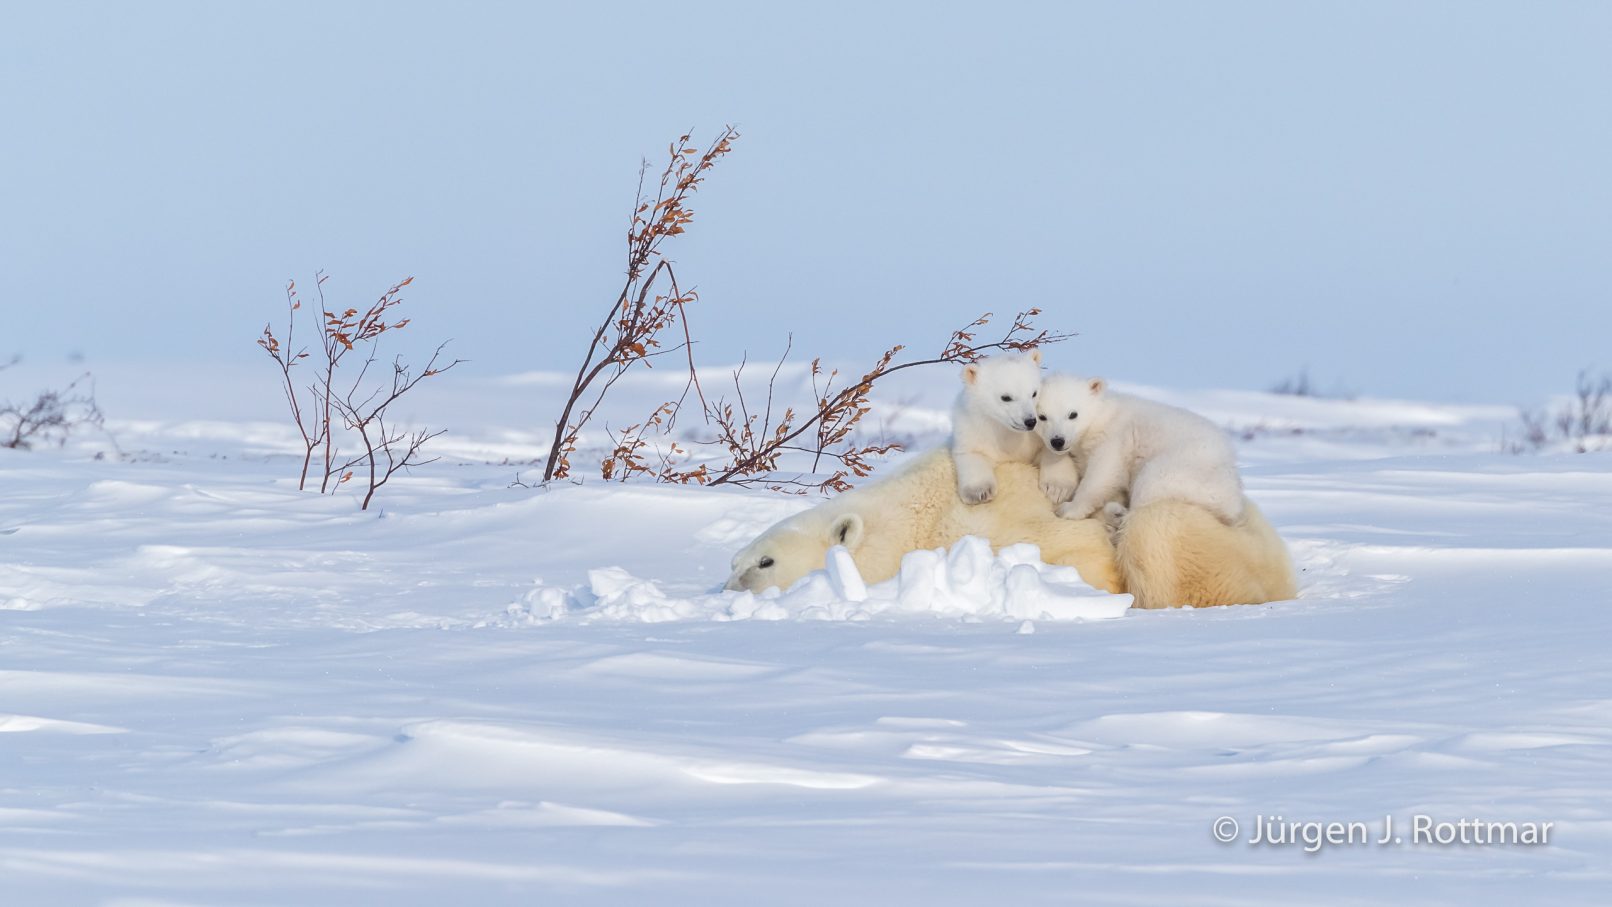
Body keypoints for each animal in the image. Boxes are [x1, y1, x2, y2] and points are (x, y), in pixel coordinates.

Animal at [950, 350, 1080, 506]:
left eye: (1034, 393)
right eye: (1006, 397)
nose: (1030, 421)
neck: (1007, 432)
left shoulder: (1036, 437)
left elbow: (1051, 451)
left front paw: (1057, 488)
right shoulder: (972, 430)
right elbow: (972, 454)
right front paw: (980, 492)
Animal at [1034, 373, 1245, 525]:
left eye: (1073, 414)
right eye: (1042, 417)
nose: (1057, 441)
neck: (1101, 418)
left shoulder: (1114, 438)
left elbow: (1103, 474)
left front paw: (1068, 509)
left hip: (1183, 469)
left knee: (1149, 485)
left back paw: (1117, 512)